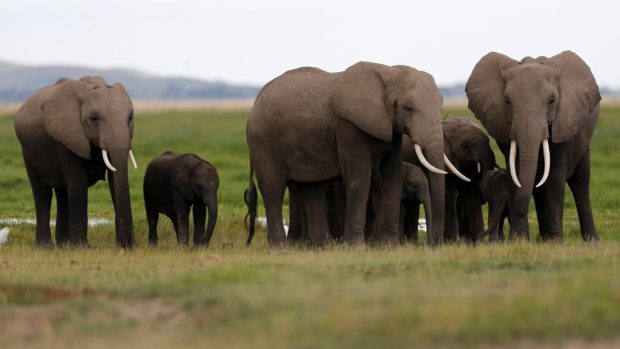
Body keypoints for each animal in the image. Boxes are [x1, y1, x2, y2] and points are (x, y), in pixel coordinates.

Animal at [14, 75, 138, 247]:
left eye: (131, 118)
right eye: (93, 118)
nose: (128, 244)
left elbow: (115, 179)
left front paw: (125, 246)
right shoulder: (67, 136)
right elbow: (78, 182)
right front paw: (81, 248)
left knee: (62, 192)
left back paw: (62, 245)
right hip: (27, 151)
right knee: (42, 193)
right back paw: (46, 247)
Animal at [245, 63, 462, 247]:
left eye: (441, 108)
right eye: (408, 109)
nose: (433, 244)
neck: (388, 72)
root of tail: (255, 102)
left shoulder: (391, 131)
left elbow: (393, 175)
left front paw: (391, 246)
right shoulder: (349, 127)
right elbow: (359, 178)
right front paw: (357, 248)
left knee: (313, 188)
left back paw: (326, 246)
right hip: (263, 141)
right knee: (273, 188)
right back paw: (280, 247)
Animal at [470, 51, 600, 242]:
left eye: (552, 100)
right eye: (507, 101)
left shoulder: (564, 122)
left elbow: (554, 176)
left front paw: (554, 243)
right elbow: (516, 172)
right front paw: (519, 241)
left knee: (581, 184)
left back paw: (591, 242)